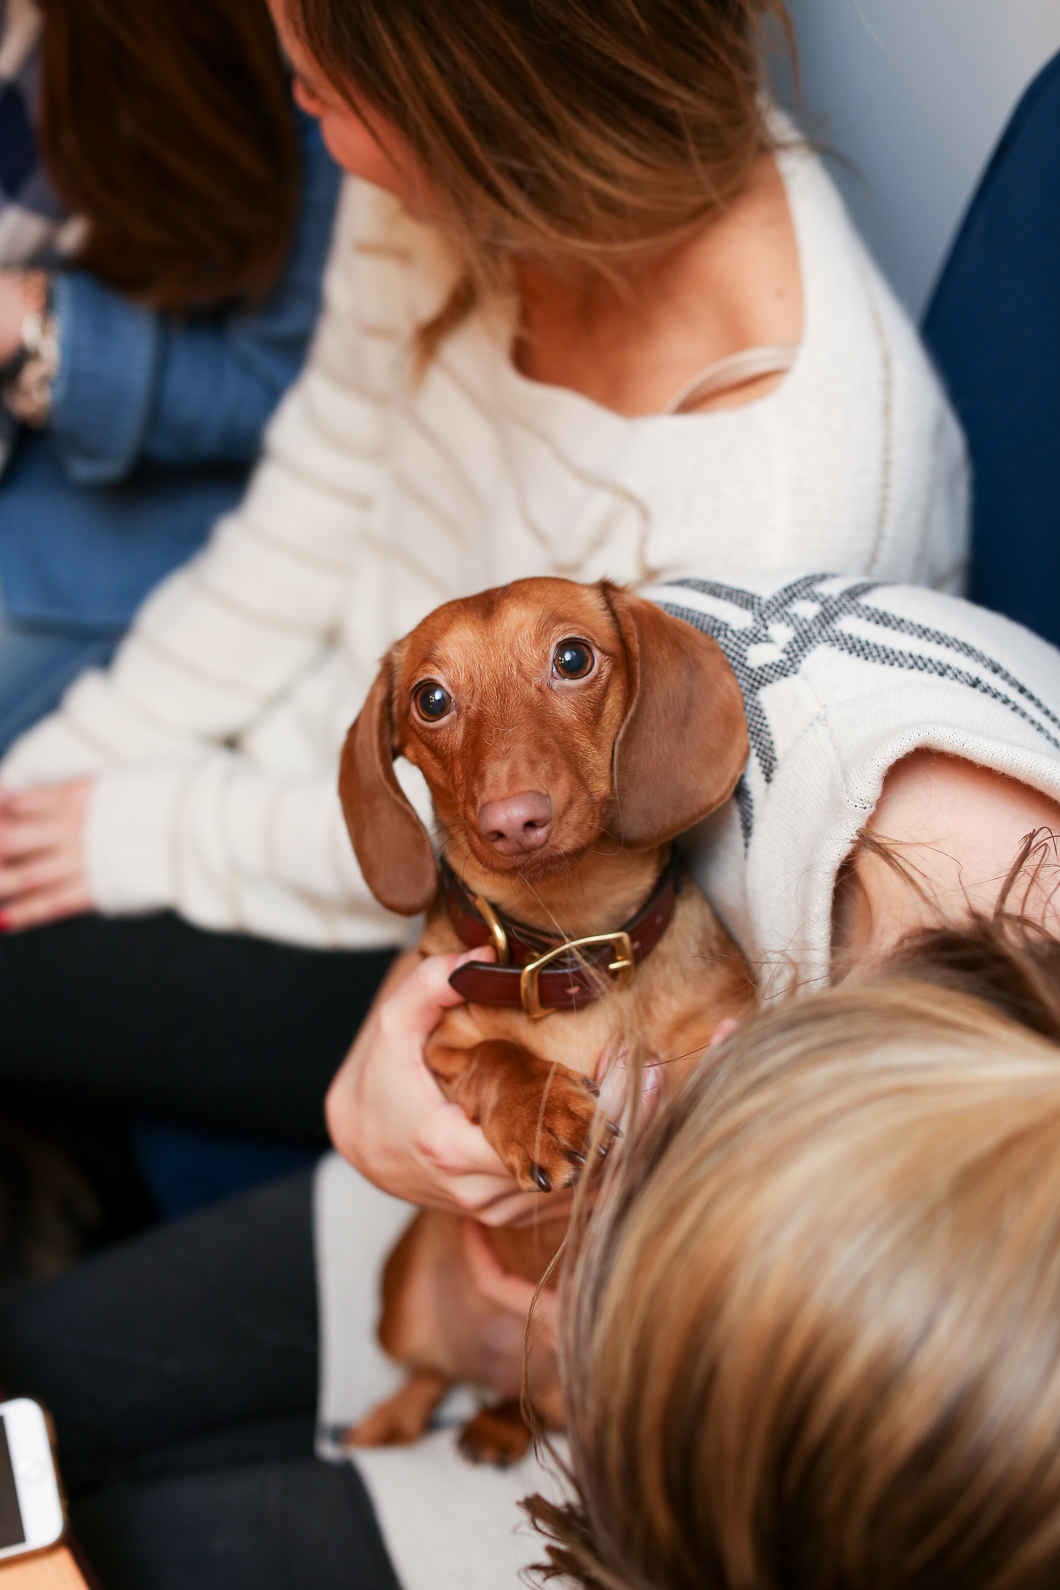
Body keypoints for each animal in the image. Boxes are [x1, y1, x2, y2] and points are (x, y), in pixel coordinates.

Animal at [340, 575, 753, 1462]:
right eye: (430, 699)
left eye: (572, 658)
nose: (512, 819)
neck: (570, 951)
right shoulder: (434, 1045)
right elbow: (495, 1059)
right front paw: (539, 1112)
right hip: (407, 1288)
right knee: (429, 1373)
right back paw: (397, 1418)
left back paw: (497, 1421)